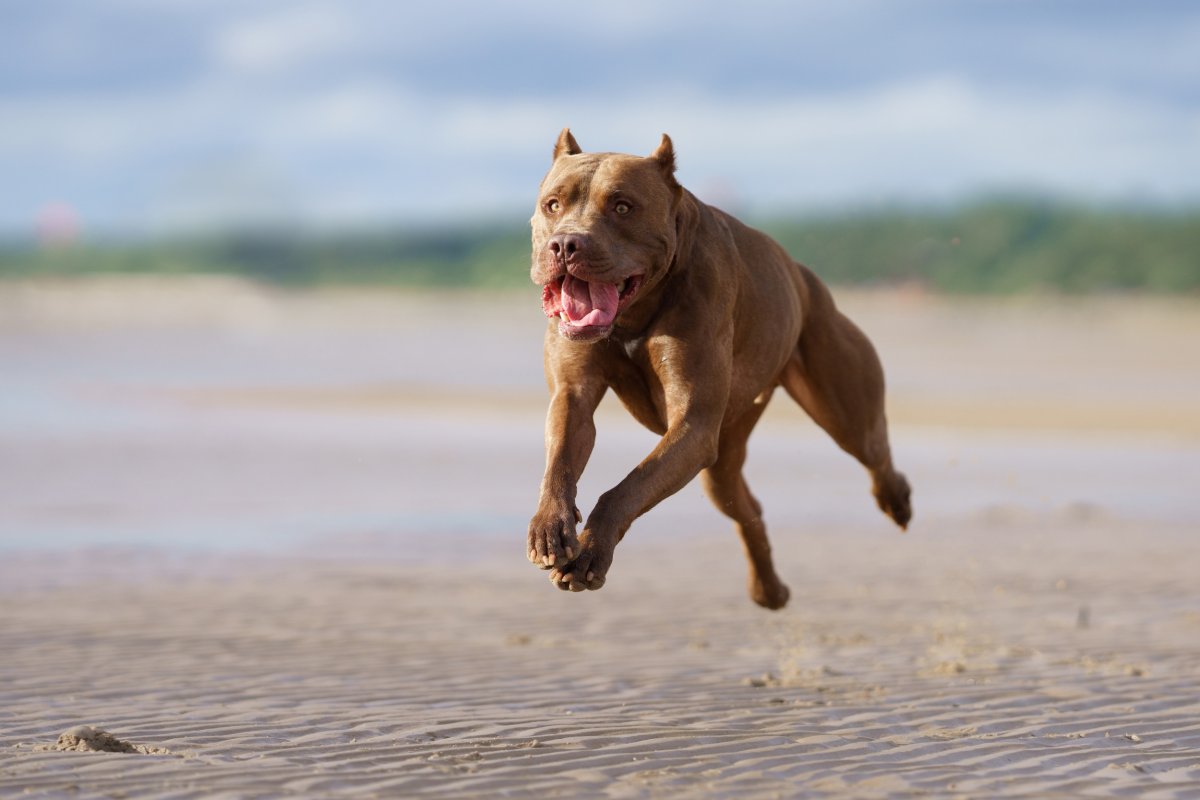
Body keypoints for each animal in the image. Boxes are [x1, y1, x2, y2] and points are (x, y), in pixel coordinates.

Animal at [525, 130, 907, 606]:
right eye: (552, 204)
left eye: (623, 206)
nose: (565, 244)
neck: (635, 313)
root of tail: (802, 275)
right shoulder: (573, 395)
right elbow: (561, 455)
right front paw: (551, 526)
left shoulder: (693, 425)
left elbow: (625, 489)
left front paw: (591, 553)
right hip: (724, 452)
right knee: (745, 506)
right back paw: (769, 589)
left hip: (840, 404)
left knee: (874, 451)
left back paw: (896, 498)